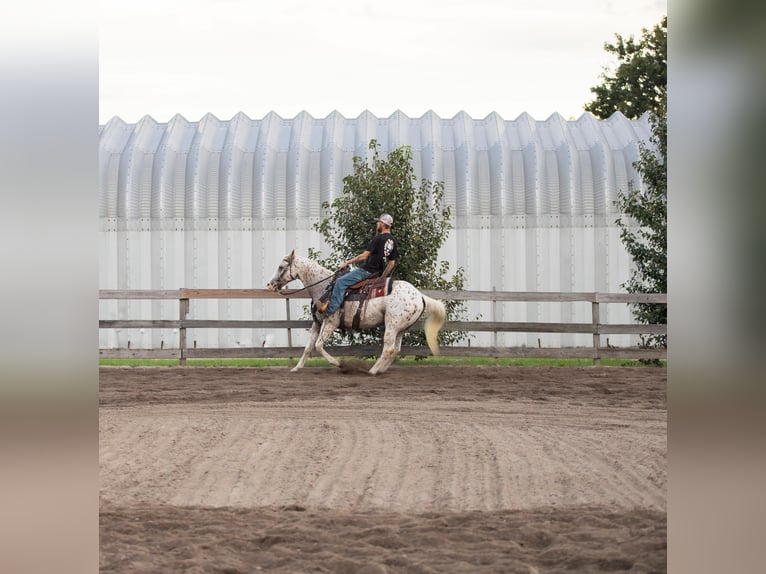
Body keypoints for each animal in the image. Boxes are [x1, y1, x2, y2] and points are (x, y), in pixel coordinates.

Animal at [268, 250, 448, 376]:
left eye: (281, 267)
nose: (270, 285)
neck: (324, 286)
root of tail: (419, 296)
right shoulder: (317, 323)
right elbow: (308, 347)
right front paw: (297, 368)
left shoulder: (330, 322)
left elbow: (318, 345)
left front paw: (339, 364)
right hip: (401, 329)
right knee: (395, 350)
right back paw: (380, 369)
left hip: (391, 326)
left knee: (388, 349)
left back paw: (372, 371)